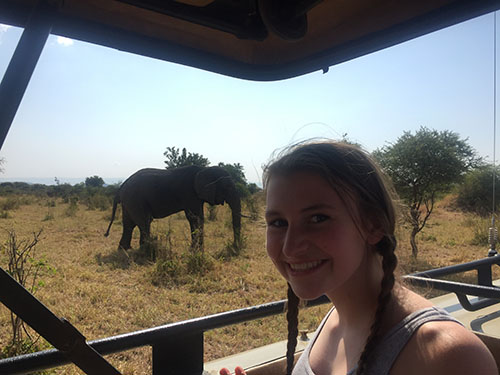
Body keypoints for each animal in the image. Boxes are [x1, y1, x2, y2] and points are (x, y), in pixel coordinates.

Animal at [104, 167, 241, 253]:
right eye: (227, 187)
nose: (235, 247)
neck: (204, 169)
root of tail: (121, 187)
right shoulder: (190, 193)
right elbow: (196, 218)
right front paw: (197, 251)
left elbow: (196, 219)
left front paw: (195, 250)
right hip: (135, 199)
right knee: (144, 222)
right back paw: (145, 249)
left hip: (129, 201)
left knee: (129, 224)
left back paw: (125, 250)